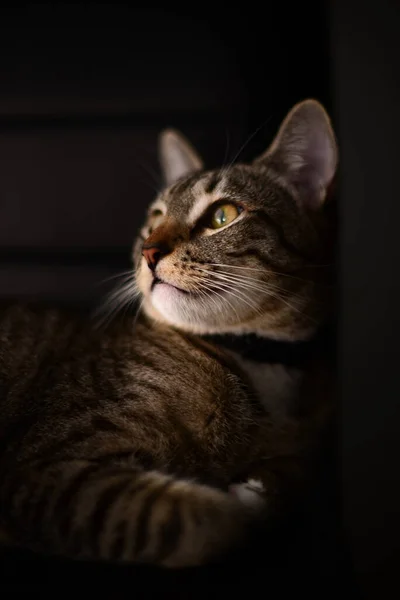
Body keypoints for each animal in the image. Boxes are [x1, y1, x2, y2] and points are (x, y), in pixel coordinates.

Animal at [0, 98, 338, 568]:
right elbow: (209, 520)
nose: (149, 251)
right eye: (155, 218)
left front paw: (266, 485)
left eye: (222, 215)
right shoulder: (49, 468)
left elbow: (293, 473)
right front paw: (245, 504)